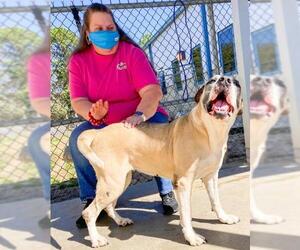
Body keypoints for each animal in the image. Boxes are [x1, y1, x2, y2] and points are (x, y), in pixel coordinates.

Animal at [78, 75, 243, 247]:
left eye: (236, 83)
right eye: (211, 81)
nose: (224, 80)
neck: (210, 130)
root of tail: (98, 133)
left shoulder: (211, 176)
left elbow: (216, 200)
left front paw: (224, 218)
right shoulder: (183, 183)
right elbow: (187, 213)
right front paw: (192, 237)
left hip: (121, 180)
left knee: (109, 206)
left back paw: (120, 220)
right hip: (113, 183)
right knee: (89, 212)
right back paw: (96, 239)